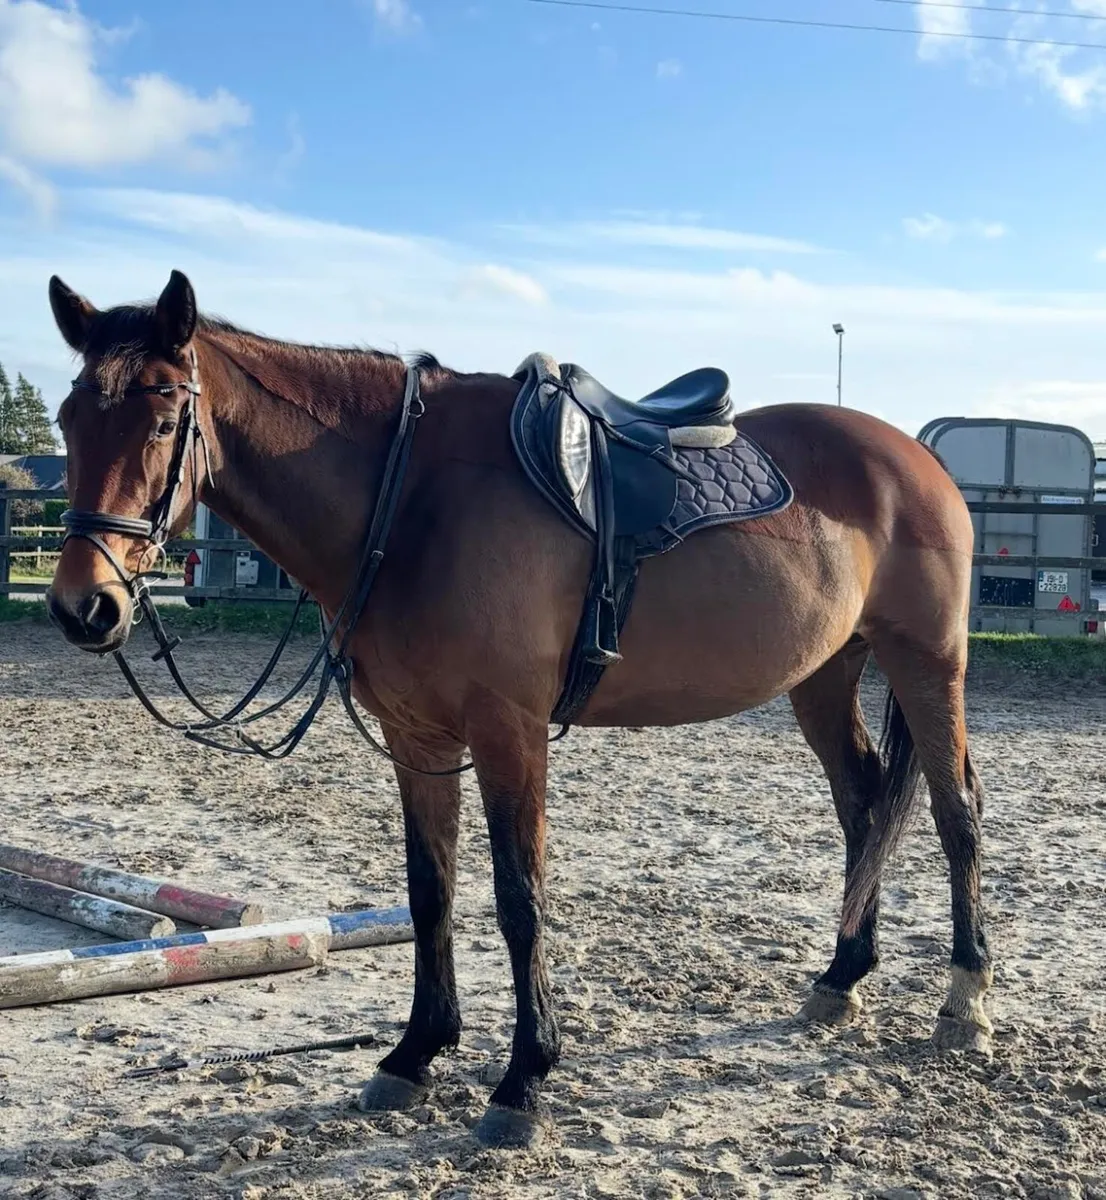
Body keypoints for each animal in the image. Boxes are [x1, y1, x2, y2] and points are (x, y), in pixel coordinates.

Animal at [44, 270, 992, 1149]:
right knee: (863, 806)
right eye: (68, 420)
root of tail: (916, 459)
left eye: (160, 424)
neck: (413, 498)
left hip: (927, 662)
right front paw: (415, 1054)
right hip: (825, 675)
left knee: (956, 814)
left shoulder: (510, 732)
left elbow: (518, 897)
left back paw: (966, 1001)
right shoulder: (417, 737)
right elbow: (430, 891)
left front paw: (523, 1080)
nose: (84, 608)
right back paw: (842, 977)